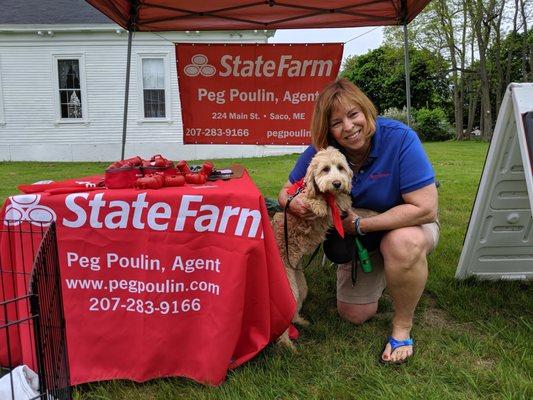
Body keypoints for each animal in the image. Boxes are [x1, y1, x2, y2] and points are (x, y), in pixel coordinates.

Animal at [274, 147, 354, 350]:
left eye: (340, 167)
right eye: (325, 169)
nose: (337, 183)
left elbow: (341, 200)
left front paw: (340, 197)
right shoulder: (298, 201)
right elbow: (308, 199)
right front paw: (318, 204)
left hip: (301, 288)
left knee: (293, 313)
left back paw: (301, 322)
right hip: (289, 289)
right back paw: (287, 345)